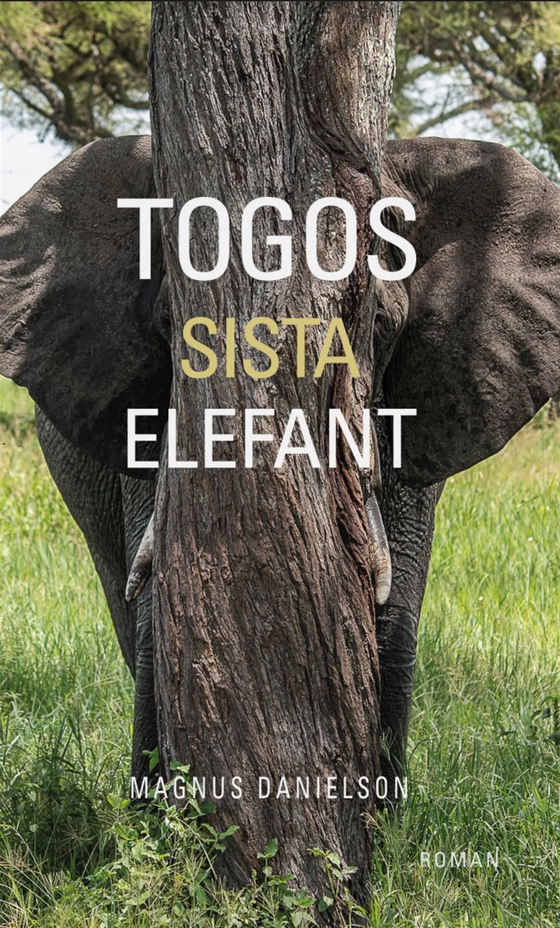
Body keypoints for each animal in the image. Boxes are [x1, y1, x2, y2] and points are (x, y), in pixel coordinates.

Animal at [1, 132, 559, 799]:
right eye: (169, 330)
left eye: (380, 327)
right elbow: (157, 601)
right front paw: (159, 815)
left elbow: (393, 615)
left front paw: (379, 822)